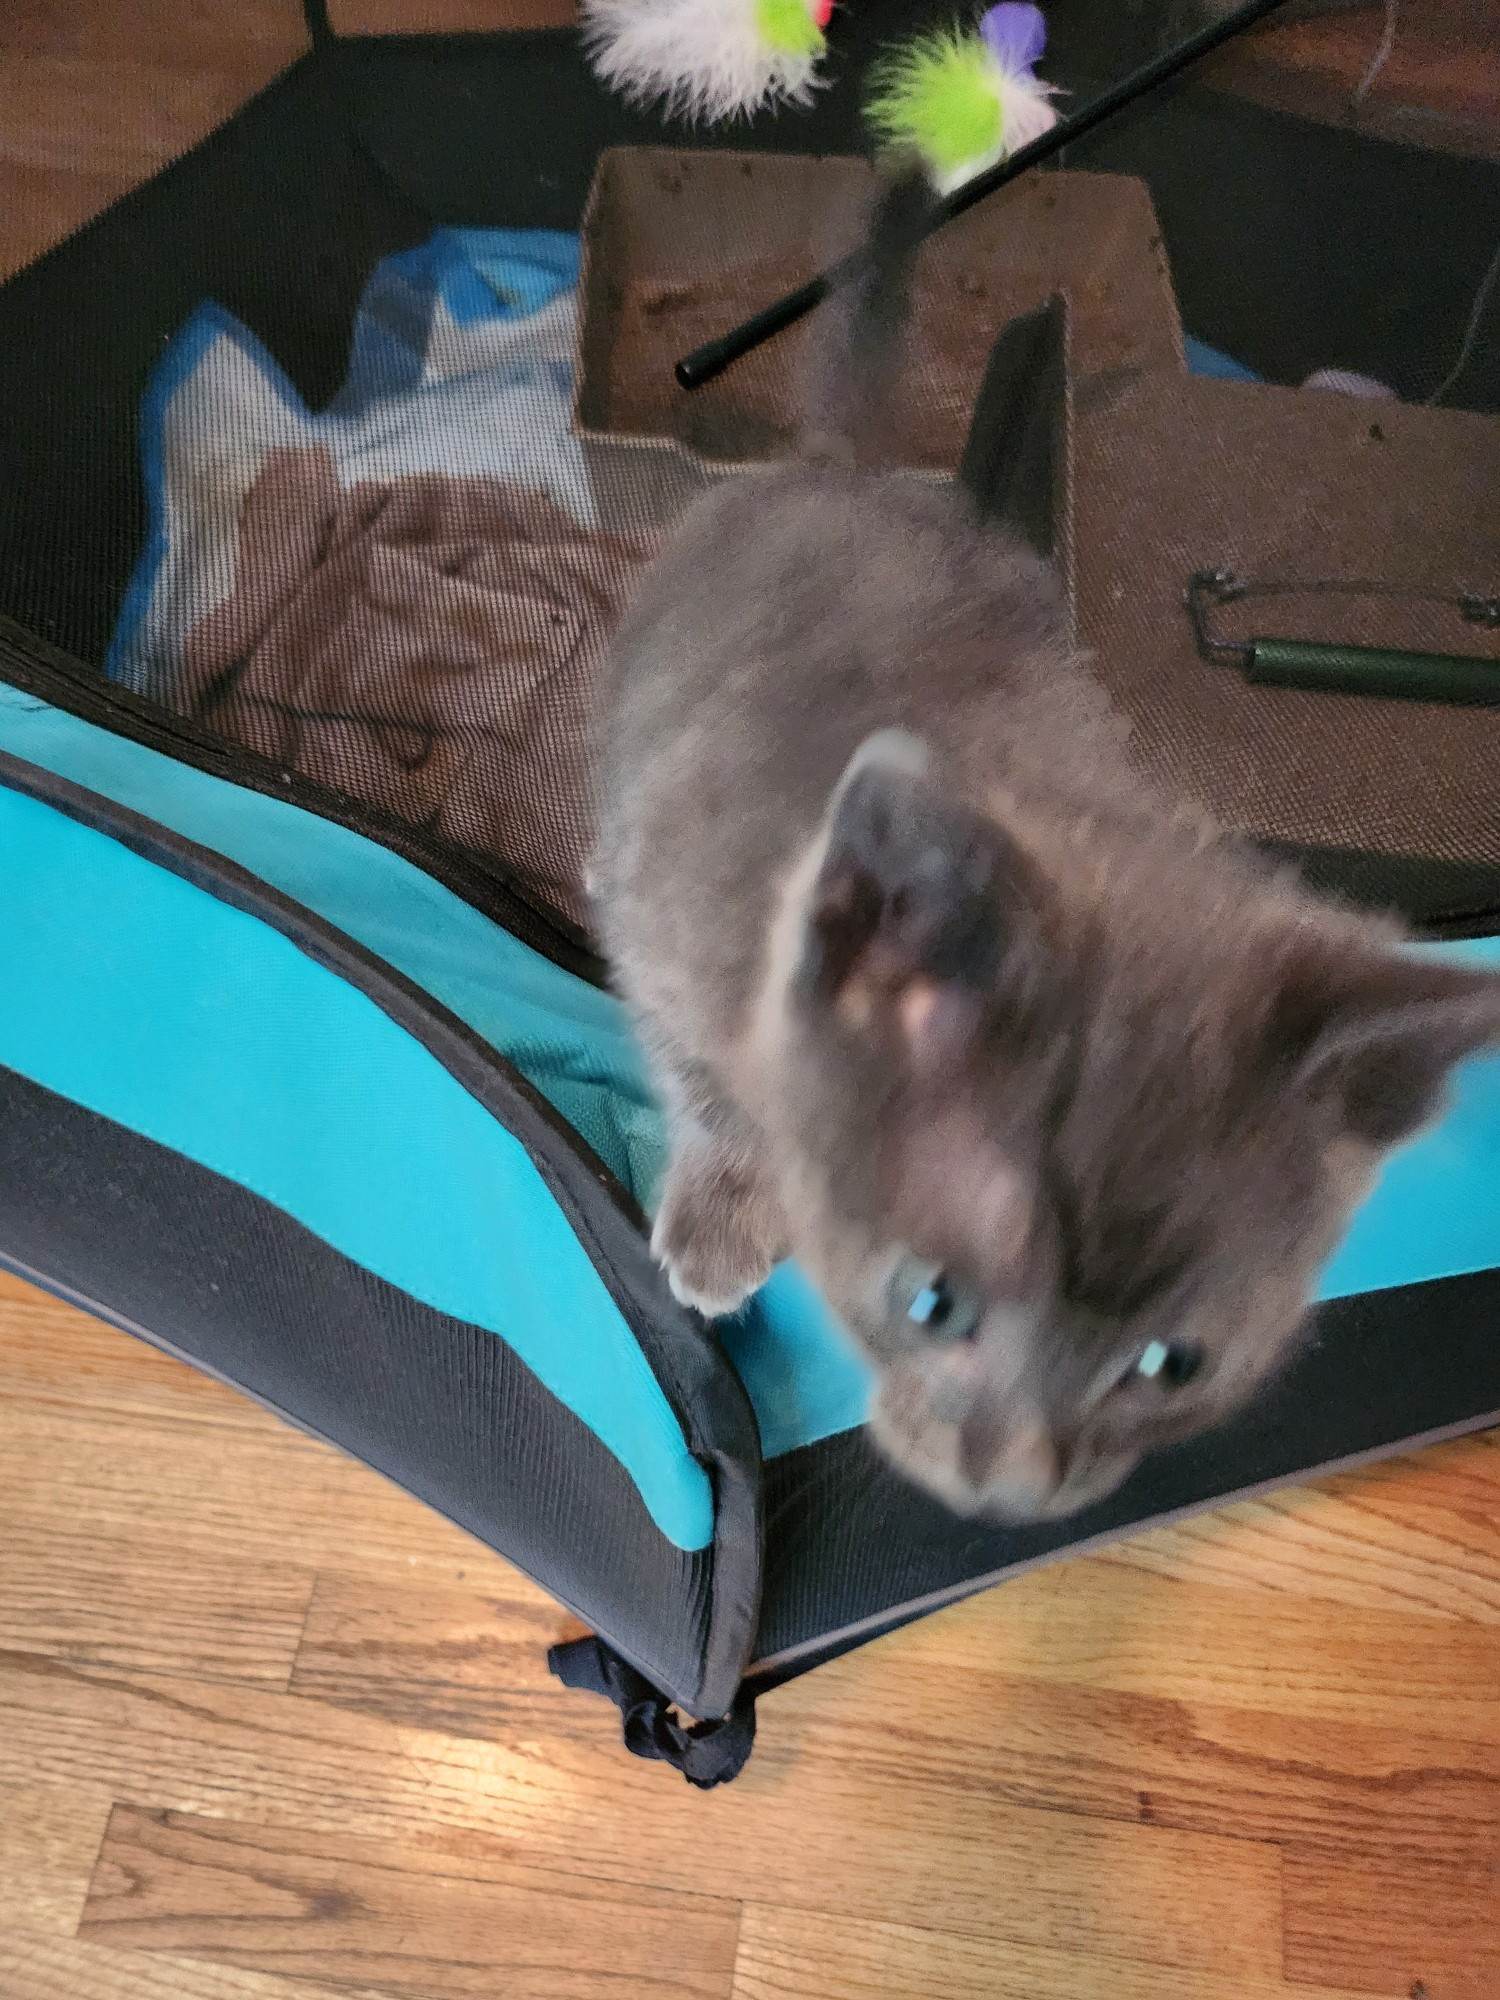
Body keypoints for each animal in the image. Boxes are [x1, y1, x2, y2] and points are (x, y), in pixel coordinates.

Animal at [588, 176, 1500, 1512]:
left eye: (1172, 1363)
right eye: (933, 1302)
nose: (1021, 1480)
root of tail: (844, 473)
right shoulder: (666, 899)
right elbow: (704, 1070)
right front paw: (725, 1212)